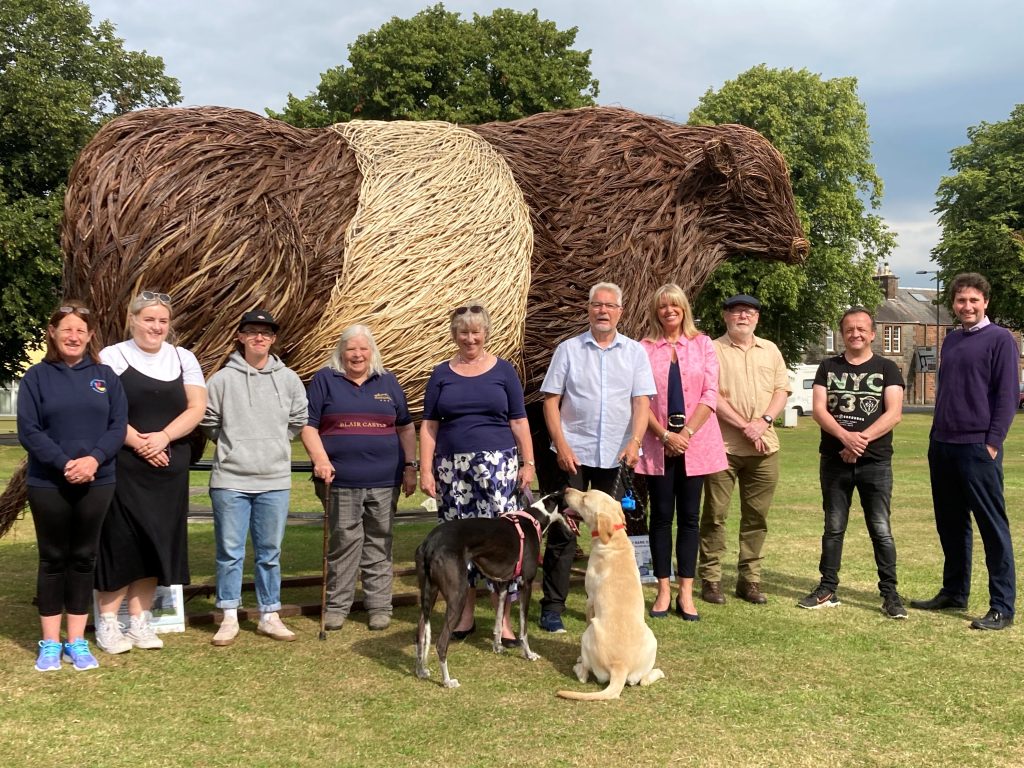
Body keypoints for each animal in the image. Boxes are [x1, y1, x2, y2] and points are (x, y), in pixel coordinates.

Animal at [415, 493, 577, 692]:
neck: (536, 518)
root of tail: (429, 543)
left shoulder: (503, 585)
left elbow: (499, 621)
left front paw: (498, 647)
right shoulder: (526, 584)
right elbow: (523, 628)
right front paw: (528, 654)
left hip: (429, 593)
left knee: (421, 632)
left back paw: (421, 670)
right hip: (457, 595)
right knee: (441, 642)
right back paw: (447, 681)